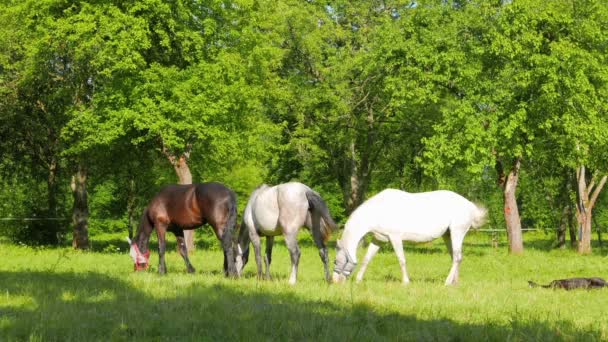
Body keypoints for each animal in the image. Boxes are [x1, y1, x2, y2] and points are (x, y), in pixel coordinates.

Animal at [330, 190, 486, 286]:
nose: (334, 281)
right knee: (455, 257)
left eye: (336, 260)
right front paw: (358, 280)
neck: (377, 211)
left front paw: (405, 282)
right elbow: (366, 259)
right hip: (448, 235)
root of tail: (470, 206)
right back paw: (455, 282)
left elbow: (401, 260)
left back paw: (447, 282)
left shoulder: (395, 238)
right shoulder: (379, 240)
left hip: (457, 233)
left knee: (457, 258)